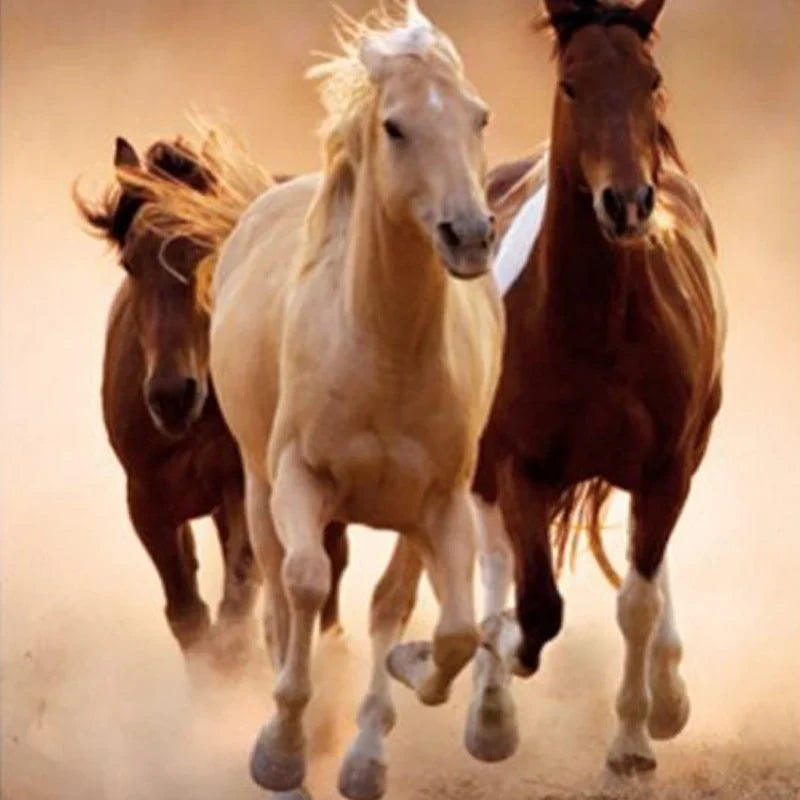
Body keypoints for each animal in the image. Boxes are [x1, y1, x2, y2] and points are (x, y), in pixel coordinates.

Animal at [74, 133, 350, 666]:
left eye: (211, 252)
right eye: (130, 263)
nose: (171, 395)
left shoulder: (240, 490)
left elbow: (236, 609)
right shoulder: (147, 501)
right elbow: (189, 616)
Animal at [464, 0, 726, 776]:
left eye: (651, 80)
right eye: (572, 84)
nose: (628, 203)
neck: (598, 326)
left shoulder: (667, 467)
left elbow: (637, 599)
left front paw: (635, 738)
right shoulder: (518, 464)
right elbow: (536, 603)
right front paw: (504, 663)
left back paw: (667, 695)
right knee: (494, 559)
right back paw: (489, 712)